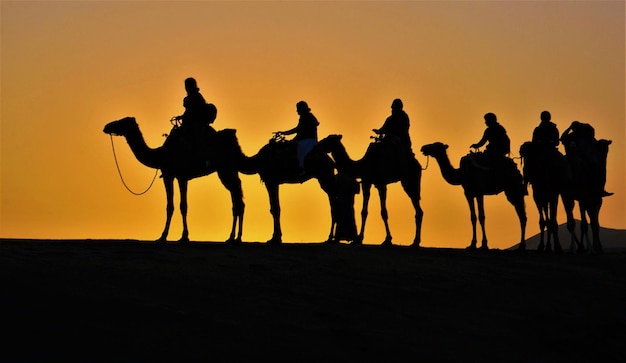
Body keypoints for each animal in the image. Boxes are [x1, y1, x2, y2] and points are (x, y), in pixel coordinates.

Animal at [103, 116, 243, 243]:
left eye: (122, 121)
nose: (106, 126)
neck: (160, 155)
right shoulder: (169, 175)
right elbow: (170, 206)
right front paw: (165, 236)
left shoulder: (180, 176)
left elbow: (182, 206)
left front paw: (181, 236)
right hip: (228, 170)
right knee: (237, 199)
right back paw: (235, 237)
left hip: (226, 170)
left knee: (237, 199)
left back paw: (234, 237)